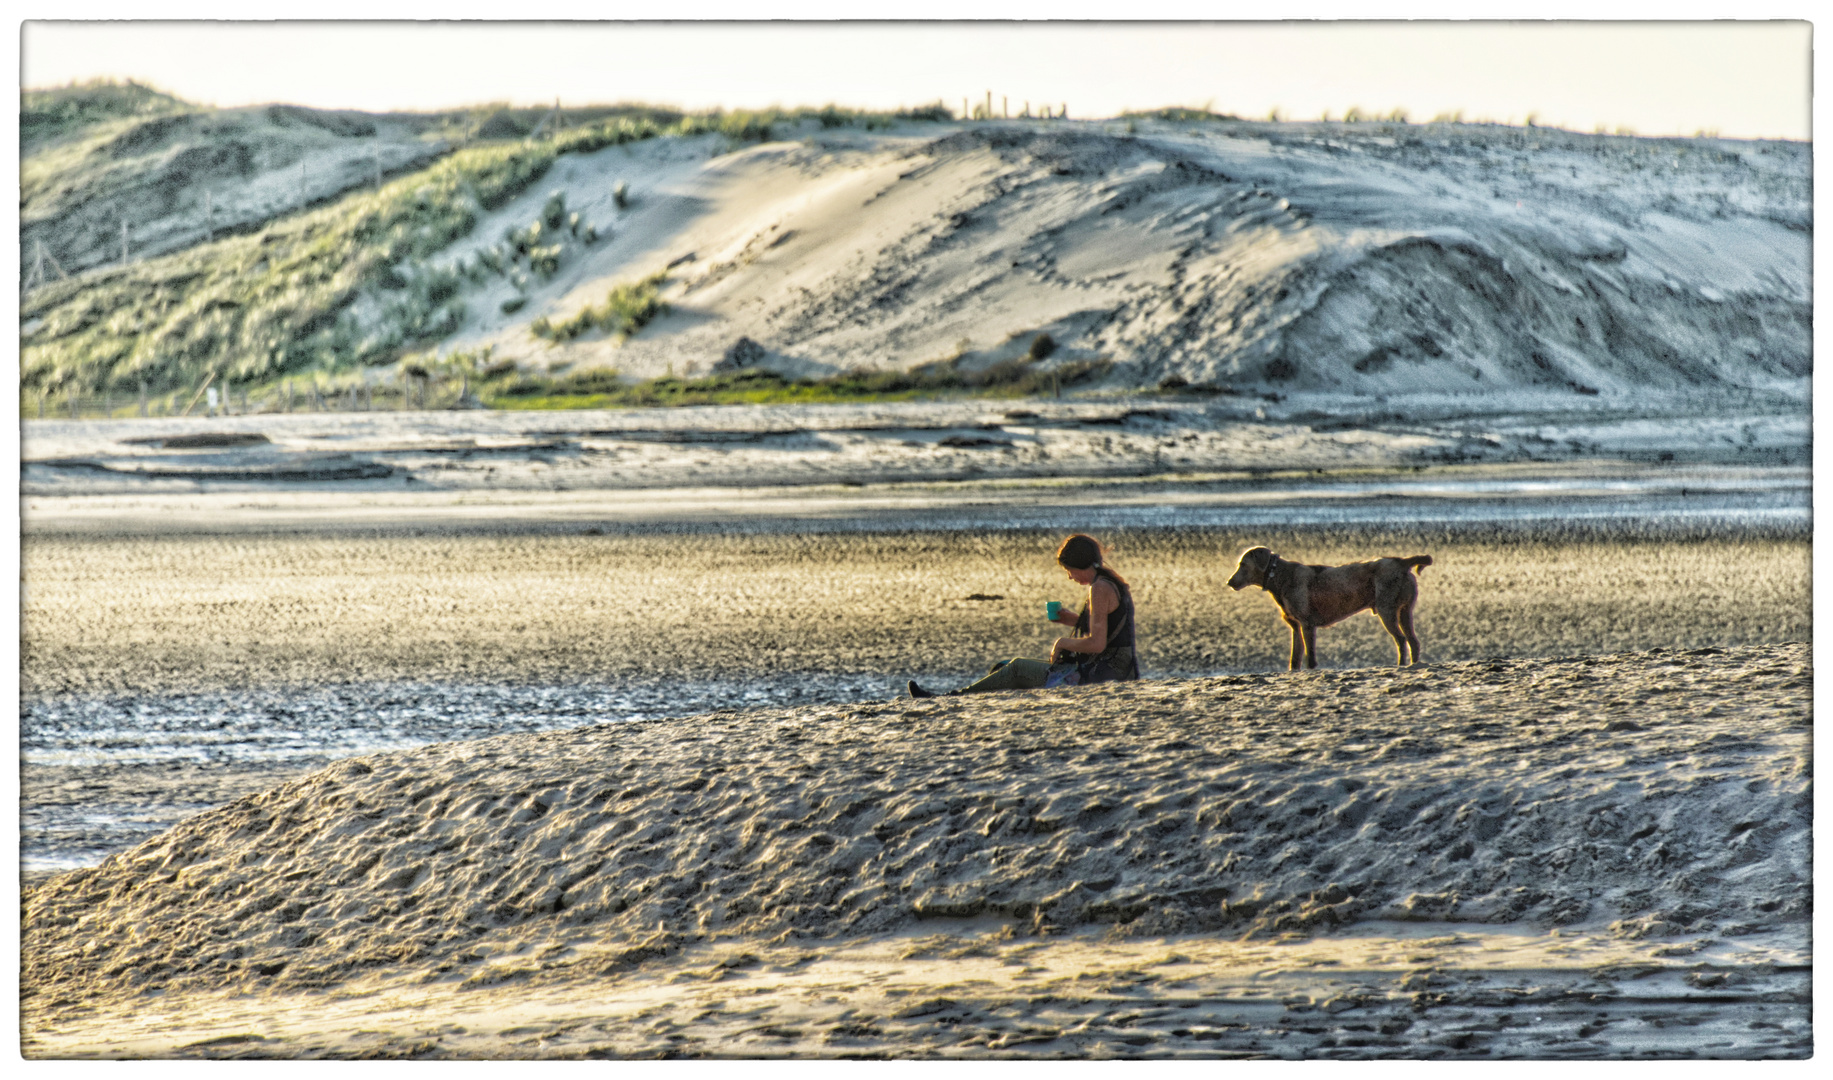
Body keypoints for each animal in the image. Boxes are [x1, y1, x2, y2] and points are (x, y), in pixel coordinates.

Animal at [1231, 546, 1429, 663]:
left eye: (1243, 564)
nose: (1229, 582)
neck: (1279, 577)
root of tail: (1400, 562)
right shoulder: (1295, 627)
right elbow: (1294, 658)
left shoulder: (1307, 625)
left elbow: (1310, 657)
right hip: (1405, 611)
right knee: (1413, 641)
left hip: (1386, 609)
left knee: (1401, 640)